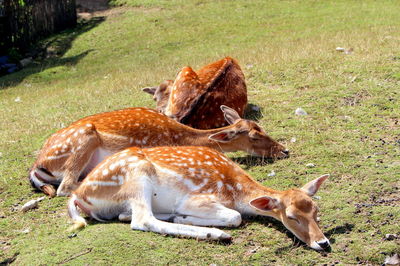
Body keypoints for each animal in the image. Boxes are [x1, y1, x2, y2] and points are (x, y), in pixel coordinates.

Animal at [29, 106, 290, 197]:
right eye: (255, 136)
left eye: (262, 128)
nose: (284, 151)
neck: (180, 137)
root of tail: (37, 166)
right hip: (84, 137)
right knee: (65, 187)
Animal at [69, 147, 332, 250]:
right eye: (291, 217)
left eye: (316, 210)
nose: (323, 242)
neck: (236, 190)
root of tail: (78, 195)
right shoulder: (196, 198)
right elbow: (236, 216)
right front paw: (188, 218)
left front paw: (182, 217)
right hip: (137, 175)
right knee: (143, 219)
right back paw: (213, 233)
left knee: (130, 215)